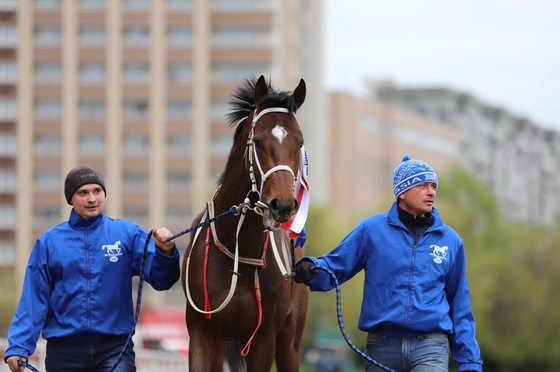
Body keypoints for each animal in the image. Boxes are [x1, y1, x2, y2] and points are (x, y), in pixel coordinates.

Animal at [180, 75, 308, 372]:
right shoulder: (202, 333)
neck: (238, 247)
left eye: (299, 143)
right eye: (258, 142)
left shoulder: (263, 339)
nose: (283, 206)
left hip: (289, 341)